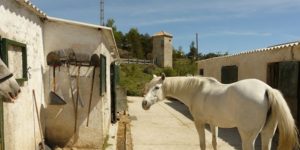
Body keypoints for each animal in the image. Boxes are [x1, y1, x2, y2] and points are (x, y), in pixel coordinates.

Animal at [142, 74, 298, 150]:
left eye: (156, 87)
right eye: (148, 86)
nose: (144, 103)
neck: (196, 90)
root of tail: (267, 89)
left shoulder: (199, 123)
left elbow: (203, 144)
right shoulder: (213, 124)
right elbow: (214, 142)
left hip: (248, 136)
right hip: (267, 134)